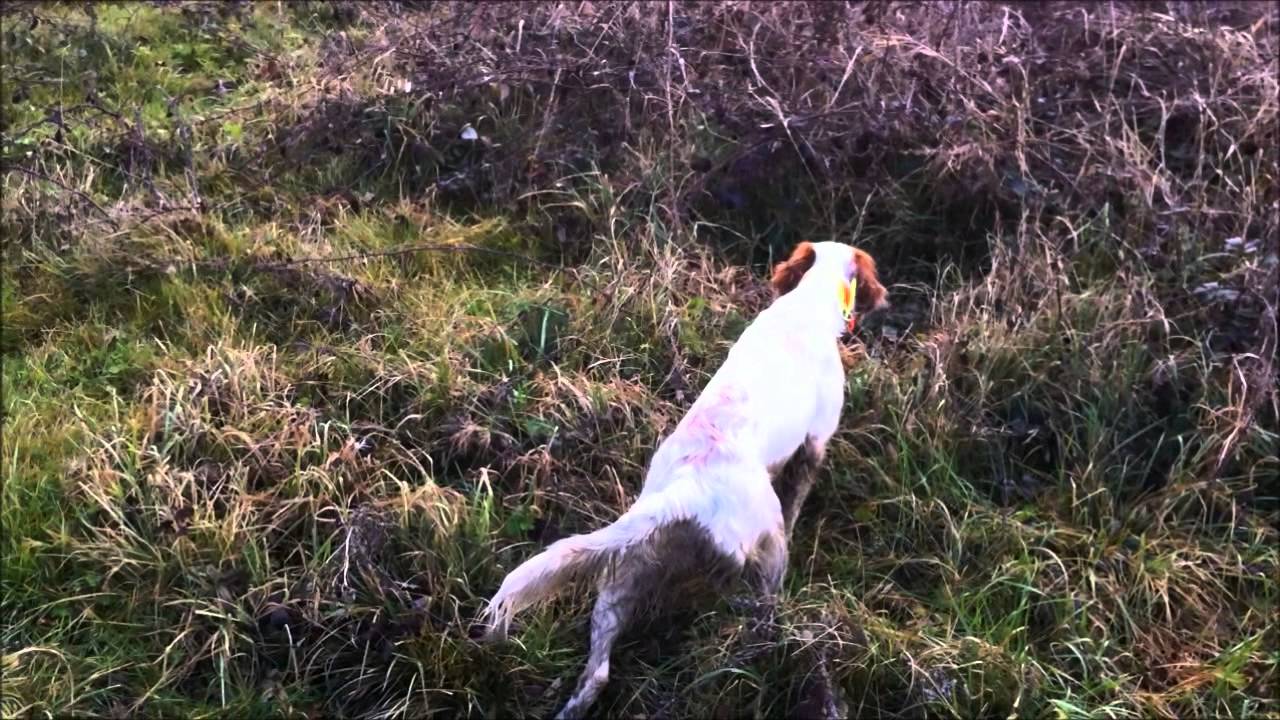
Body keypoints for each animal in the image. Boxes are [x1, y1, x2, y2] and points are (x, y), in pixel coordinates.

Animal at [481, 240, 890, 717]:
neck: (805, 304)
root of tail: (683, 493)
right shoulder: (814, 445)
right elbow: (797, 501)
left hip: (626, 572)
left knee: (597, 673)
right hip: (765, 553)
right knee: (762, 606)